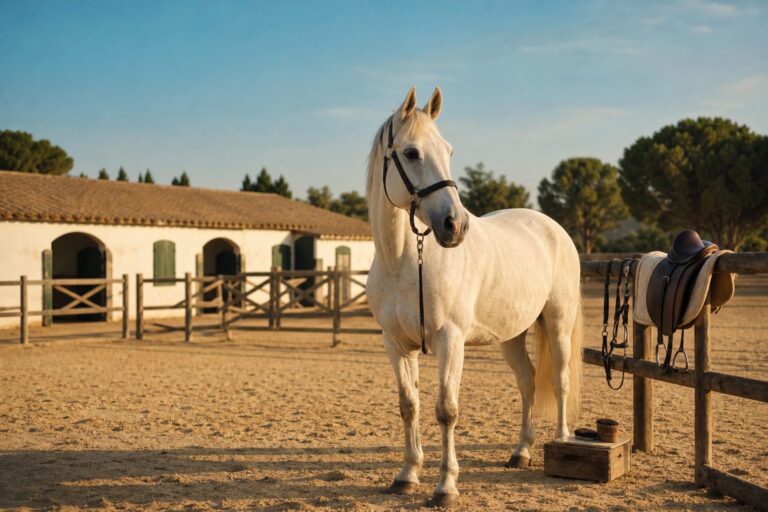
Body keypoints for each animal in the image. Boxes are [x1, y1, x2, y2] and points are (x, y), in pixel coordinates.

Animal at [365, 86, 583, 507]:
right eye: (412, 153)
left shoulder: (451, 341)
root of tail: (552, 227)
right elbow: (409, 405)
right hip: (512, 335)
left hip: (558, 323)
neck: (405, 262)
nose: (456, 225)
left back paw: (562, 442)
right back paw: (521, 452)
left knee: (560, 380)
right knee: (529, 382)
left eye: (448, 150)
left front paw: (445, 486)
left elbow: (446, 410)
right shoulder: (395, 344)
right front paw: (406, 475)